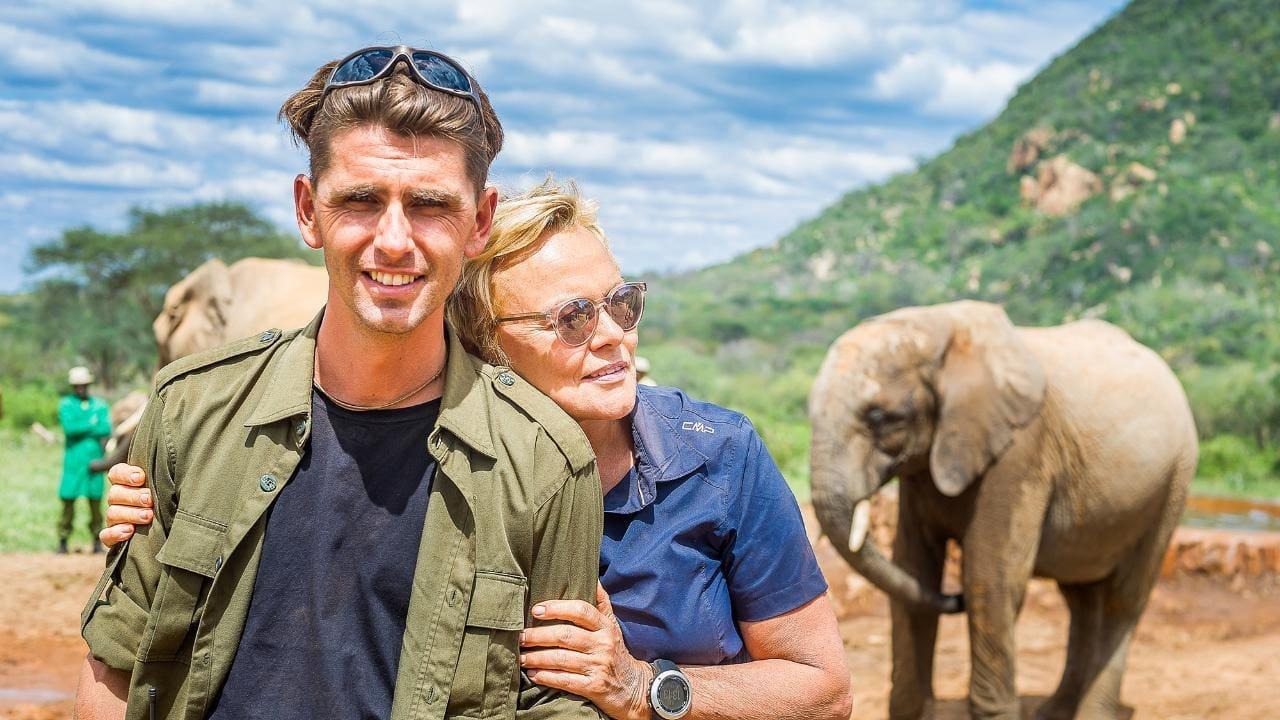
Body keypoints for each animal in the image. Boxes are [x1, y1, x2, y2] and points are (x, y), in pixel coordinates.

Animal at [808, 299, 1198, 712]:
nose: (955, 599)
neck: (939, 325)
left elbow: (989, 577)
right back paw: (1054, 712)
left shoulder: (1019, 452)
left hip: (1174, 481)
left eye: (880, 417)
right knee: (1081, 598)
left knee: (1123, 599)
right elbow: (914, 570)